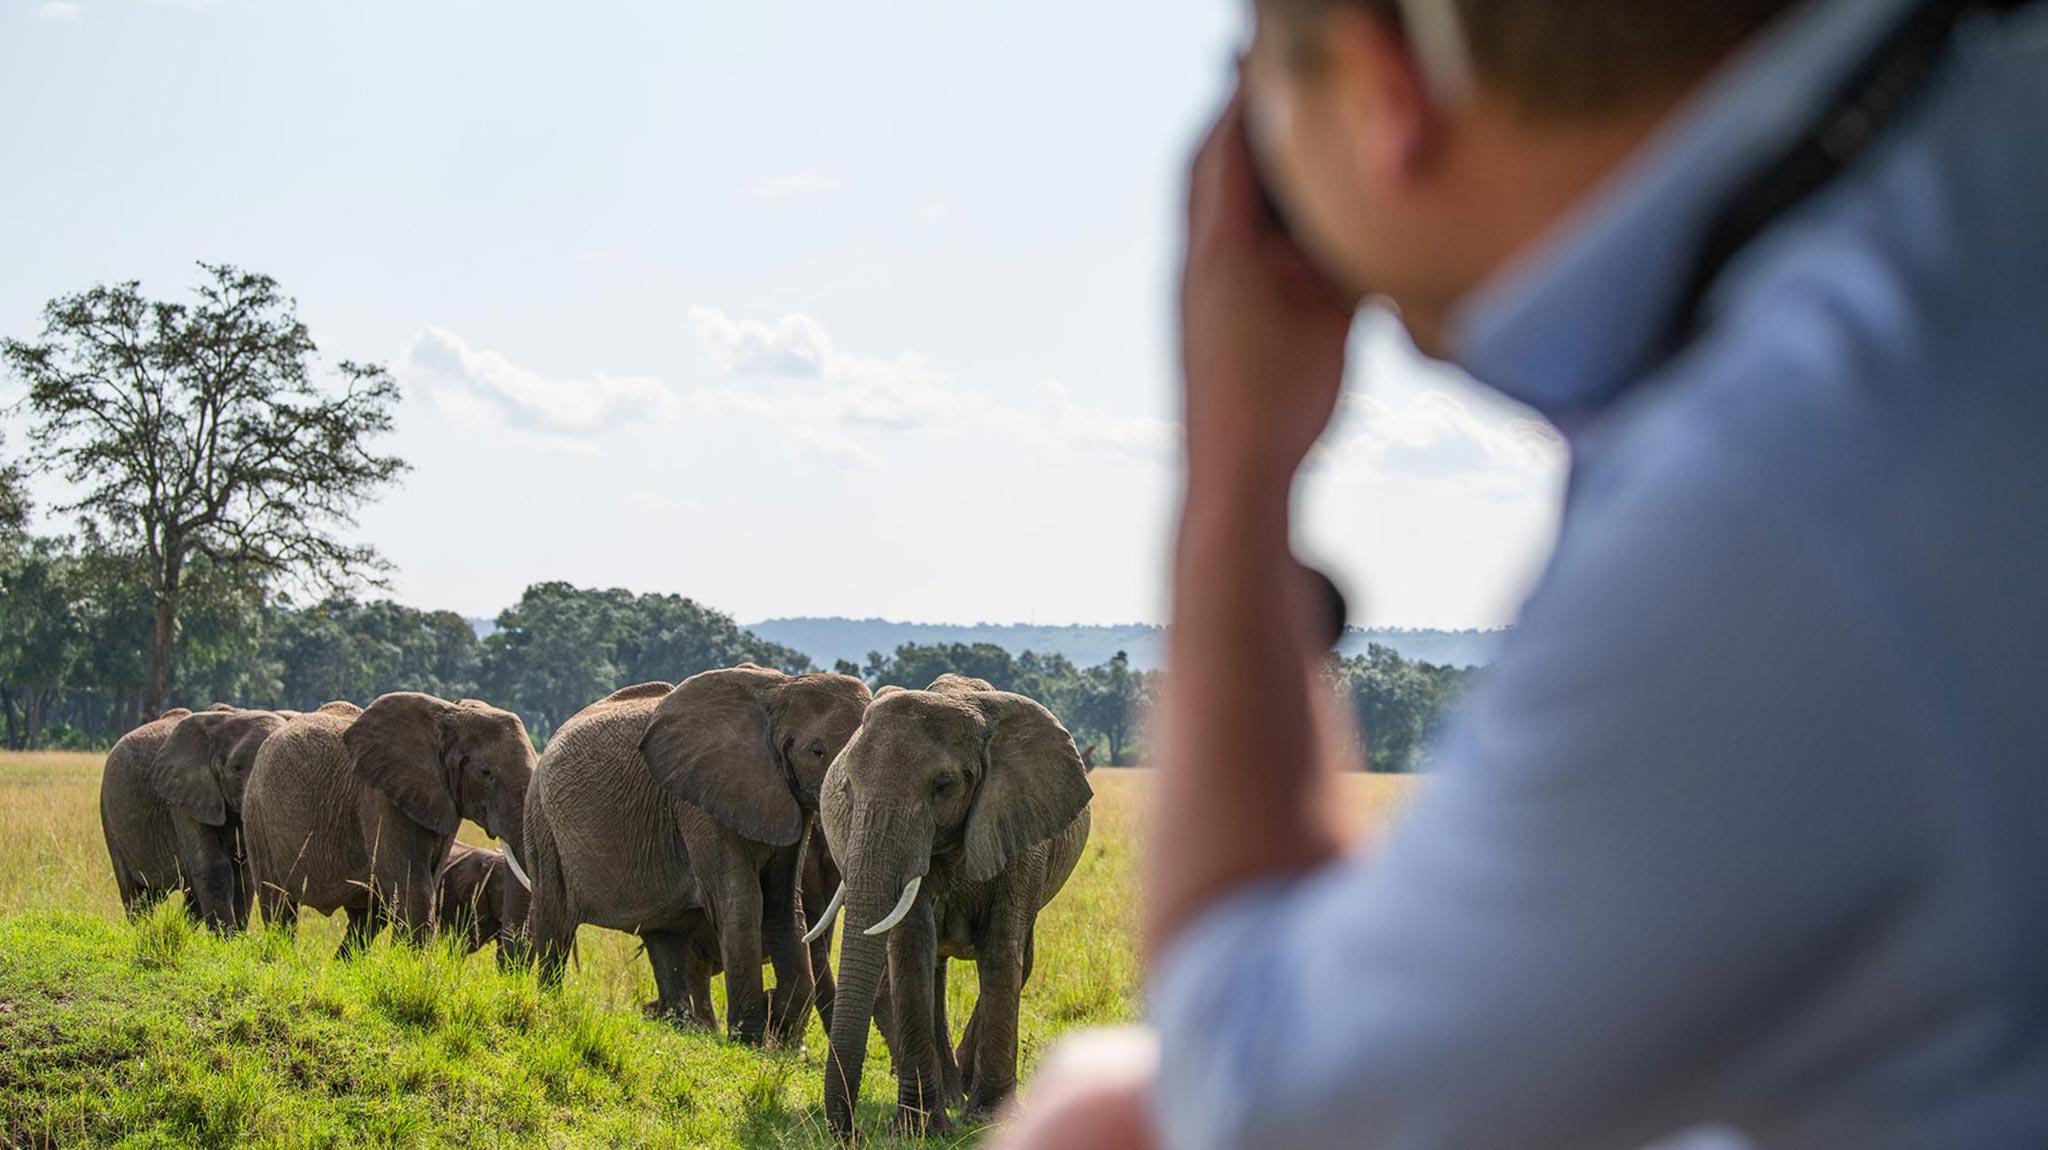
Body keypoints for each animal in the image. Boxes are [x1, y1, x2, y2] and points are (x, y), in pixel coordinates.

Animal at [242, 693, 535, 953]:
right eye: (486, 773)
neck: (451, 714)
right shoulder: (379, 798)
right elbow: (413, 888)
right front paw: (413, 965)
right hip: (257, 819)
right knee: (278, 906)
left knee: (365, 921)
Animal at [524, 667, 872, 1045]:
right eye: (817, 751)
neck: (784, 687)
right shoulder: (699, 804)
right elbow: (741, 902)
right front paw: (749, 1038)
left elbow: (784, 905)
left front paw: (777, 1029)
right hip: (542, 821)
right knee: (556, 917)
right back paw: (548, 1001)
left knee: (664, 936)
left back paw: (680, 1024)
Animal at [814, 674, 1093, 1140]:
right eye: (846, 788)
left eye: (944, 785)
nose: (848, 1131)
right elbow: (911, 949)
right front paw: (920, 1130)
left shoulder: (1019, 827)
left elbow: (1002, 951)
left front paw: (991, 1121)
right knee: (934, 966)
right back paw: (948, 1094)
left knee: (1022, 958)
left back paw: (962, 1090)